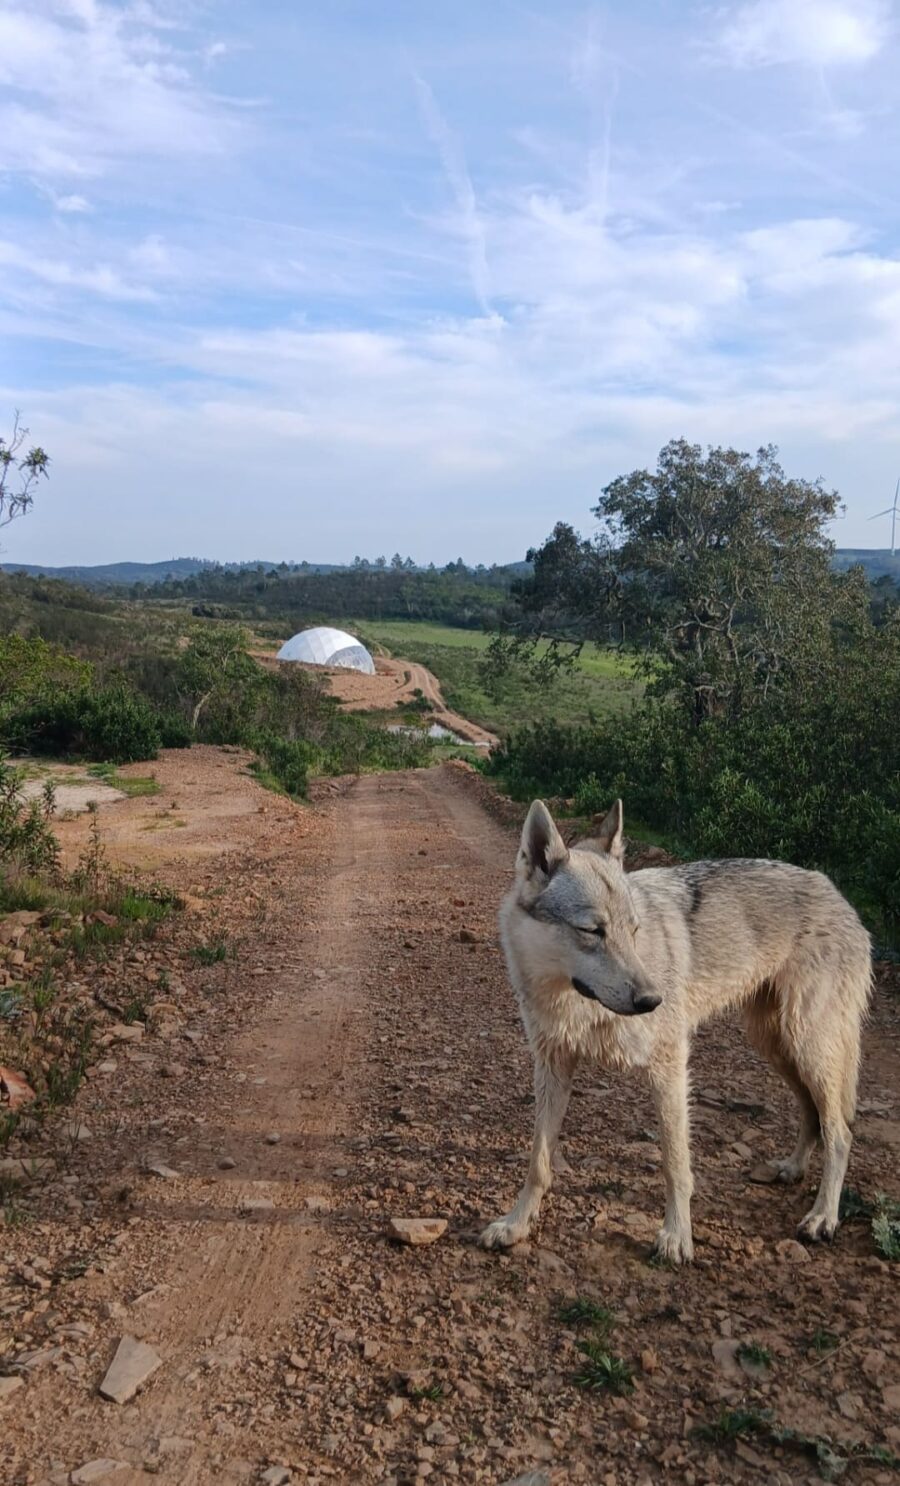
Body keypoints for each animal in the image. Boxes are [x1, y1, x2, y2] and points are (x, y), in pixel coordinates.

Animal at [479, 799, 872, 1262]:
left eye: (634, 931)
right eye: (593, 931)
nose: (653, 1000)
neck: (572, 1003)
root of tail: (838, 894)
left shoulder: (670, 1067)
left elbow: (675, 1164)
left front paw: (676, 1236)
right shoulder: (552, 1066)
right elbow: (538, 1162)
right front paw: (516, 1224)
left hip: (807, 1046)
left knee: (840, 1132)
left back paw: (823, 1217)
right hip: (775, 1046)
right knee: (813, 1115)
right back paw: (792, 1169)